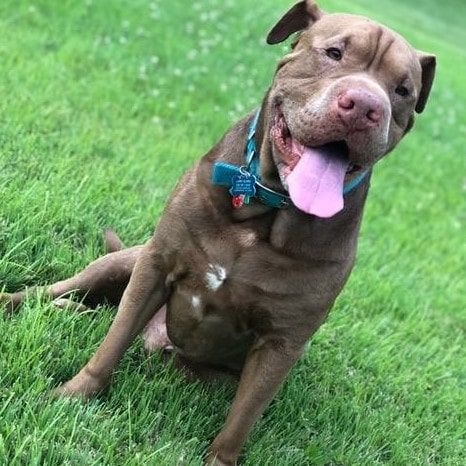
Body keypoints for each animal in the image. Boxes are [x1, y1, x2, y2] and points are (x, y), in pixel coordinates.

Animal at [0, 1, 436, 464]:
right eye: (334, 53)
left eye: (403, 90)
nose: (365, 106)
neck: (264, 204)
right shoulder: (155, 266)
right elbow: (110, 346)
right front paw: (72, 396)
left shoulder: (281, 343)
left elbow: (240, 421)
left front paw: (219, 458)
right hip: (120, 262)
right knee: (61, 292)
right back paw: (24, 302)